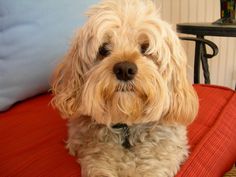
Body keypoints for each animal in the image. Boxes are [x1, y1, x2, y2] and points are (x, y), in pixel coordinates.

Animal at [52, 0, 199, 177]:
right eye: (103, 49)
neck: (127, 126)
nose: (124, 69)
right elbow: (100, 157)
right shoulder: (89, 145)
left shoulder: (165, 147)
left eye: (145, 48)